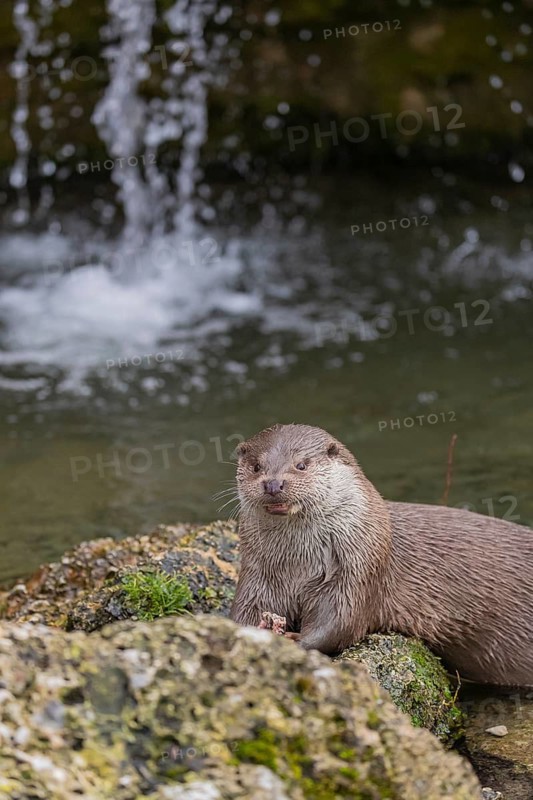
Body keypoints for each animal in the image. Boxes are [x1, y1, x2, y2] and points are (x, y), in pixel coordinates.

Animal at [230, 423, 533, 686]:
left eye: (301, 464)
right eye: (256, 466)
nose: (273, 484)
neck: (298, 566)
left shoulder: (358, 569)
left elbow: (340, 622)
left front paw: (296, 640)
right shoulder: (258, 574)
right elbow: (243, 612)